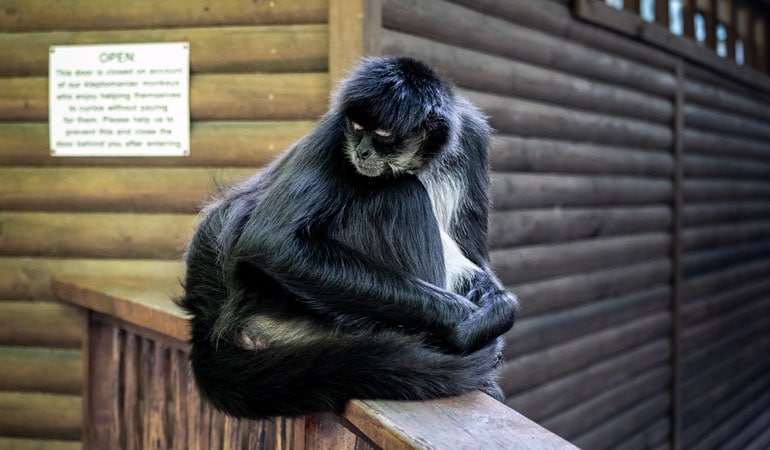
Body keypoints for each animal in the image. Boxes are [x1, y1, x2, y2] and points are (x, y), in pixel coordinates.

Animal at [177, 56, 520, 418]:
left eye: (382, 134)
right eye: (356, 127)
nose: (362, 151)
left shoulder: (471, 136)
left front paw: (496, 310)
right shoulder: (334, 132)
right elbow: (270, 243)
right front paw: (463, 324)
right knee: (399, 191)